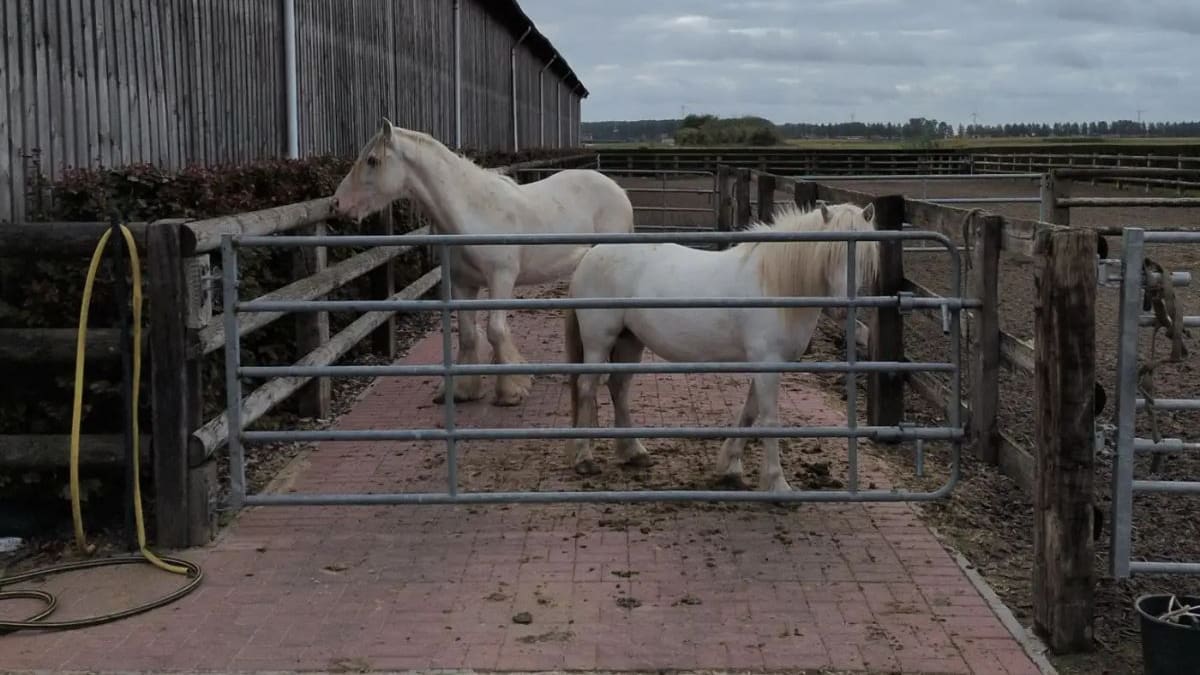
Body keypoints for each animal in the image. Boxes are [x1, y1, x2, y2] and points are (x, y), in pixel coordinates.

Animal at [331, 118, 635, 406]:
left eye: (372, 160)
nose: (337, 203)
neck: (473, 212)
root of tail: (618, 190)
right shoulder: (462, 283)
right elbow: (467, 334)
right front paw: (464, 390)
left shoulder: (501, 279)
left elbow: (495, 331)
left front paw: (511, 391)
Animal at [563, 201, 880, 492]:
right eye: (828, 251)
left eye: (863, 255)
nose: (841, 308)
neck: (773, 283)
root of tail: (590, 254)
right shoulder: (767, 363)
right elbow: (769, 419)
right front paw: (777, 483)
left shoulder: (767, 365)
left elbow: (750, 412)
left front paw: (729, 467)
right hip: (599, 341)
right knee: (587, 388)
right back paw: (584, 459)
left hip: (630, 342)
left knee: (618, 387)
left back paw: (633, 452)